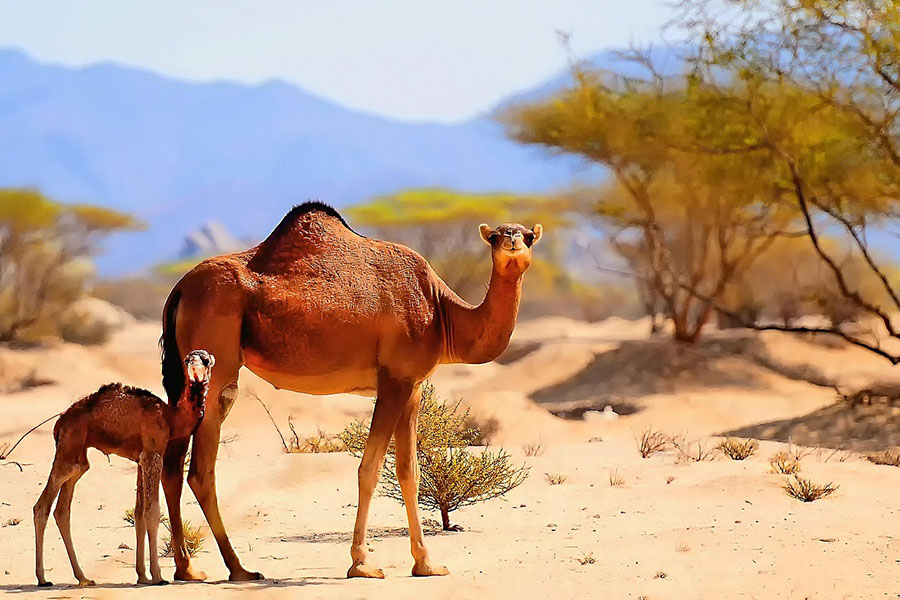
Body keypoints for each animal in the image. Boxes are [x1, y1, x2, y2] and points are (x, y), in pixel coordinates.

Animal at [33, 350, 215, 587]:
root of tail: (61, 422)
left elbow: (139, 514)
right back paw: (42, 578)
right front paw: (158, 576)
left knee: (62, 510)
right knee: (42, 507)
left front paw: (143, 576)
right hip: (68, 449)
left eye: (205, 360)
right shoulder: (153, 454)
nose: (194, 365)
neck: (171, 418)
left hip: (78, 457)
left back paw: (83, 577)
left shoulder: (140, 459)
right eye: (187, 360)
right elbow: (152, 512)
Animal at [160, 201, 542, 581]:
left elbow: (410, 471)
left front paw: (426, 564)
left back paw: (187, 568)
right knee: (200, 470)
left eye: (528, 236)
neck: (441, 311)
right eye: (494, 236)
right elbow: (369, 469)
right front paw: (362, 563)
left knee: (172, 464)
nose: (511, 240)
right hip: (217, 365)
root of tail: (179, 290)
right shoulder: (394, 380)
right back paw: (238, 568)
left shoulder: (413, 388)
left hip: (186, 376)